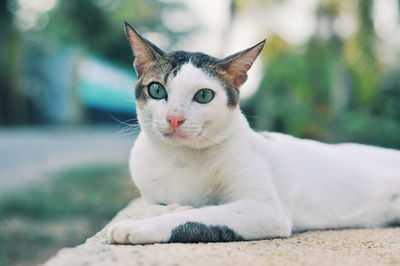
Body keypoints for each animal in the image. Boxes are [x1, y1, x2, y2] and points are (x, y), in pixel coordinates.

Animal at [107, 22, 400, 245]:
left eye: (204, 96)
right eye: (157, 90)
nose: (174, 118)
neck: (181, 159)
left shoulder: (265, 210)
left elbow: (197, 217)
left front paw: (137, 226)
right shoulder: (149, 192)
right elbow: (154, 206)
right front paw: (171, 207)